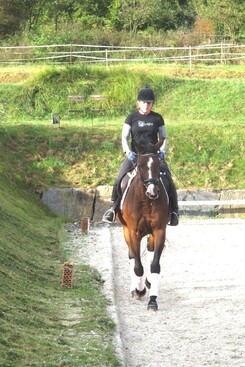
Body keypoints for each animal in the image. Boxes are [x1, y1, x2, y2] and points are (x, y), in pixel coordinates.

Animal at [117, 139, 169, 312]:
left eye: (158, 164)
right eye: (140, 165)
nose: (153, 192)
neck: (146, 201)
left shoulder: (159, 230)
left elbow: (155, 265)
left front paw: (153, 300)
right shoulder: (133, 232)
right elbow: (137, 266)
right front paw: (139, 290)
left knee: (150, 251)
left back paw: (148, 282)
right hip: (126, 230)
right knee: (132, 257)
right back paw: (135, 288)